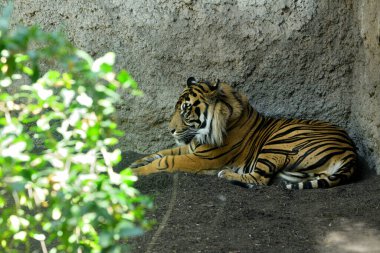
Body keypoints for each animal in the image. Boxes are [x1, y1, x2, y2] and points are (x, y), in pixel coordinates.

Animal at [131, 77, 356, 190]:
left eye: (185, 109)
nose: (170, 129)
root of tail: (351, 151)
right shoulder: (193, 147)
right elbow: (163, 152)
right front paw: (136, 162)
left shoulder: (202, 158)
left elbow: (166, 161)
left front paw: (134, 173)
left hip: (276, 142)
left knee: (260, 179)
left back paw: (226, 174)